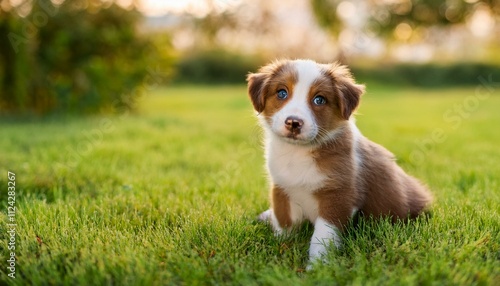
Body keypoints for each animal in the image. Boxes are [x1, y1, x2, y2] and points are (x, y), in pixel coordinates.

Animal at [247, 59, 434, 266]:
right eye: (281, 93)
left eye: (319, 99)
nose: (293, 122)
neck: (298, 153)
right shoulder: (282, 187)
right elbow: (284, 220)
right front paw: (280, 243)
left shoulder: (338, 195)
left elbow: (322, 235)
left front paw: (318, 265)